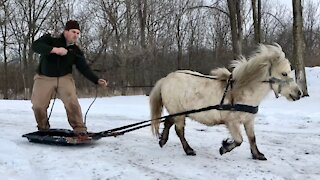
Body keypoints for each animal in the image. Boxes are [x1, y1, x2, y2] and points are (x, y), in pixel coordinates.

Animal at [149, 43, 302, 160]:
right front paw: (224, 148)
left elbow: (252, 138)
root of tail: (166, 79)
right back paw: (189, 150)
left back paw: (163, 140)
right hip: (179, 113)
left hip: (179, 112)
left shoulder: (249, 120)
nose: (299, 93)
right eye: (284, 73)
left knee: (168, 121)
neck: (242, 90)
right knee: (179, 130)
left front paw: (257, 155)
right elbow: (239, 140)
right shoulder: (232, 122)